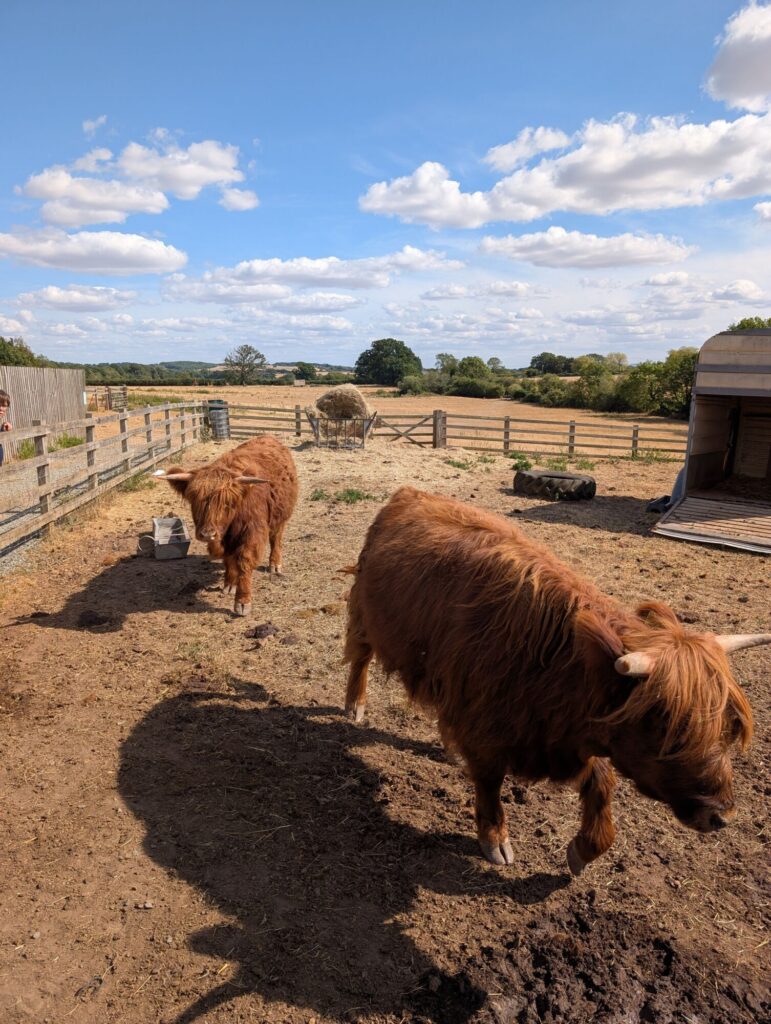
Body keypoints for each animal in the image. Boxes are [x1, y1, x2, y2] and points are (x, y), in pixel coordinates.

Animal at [155, 436, 298, 616]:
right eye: (194, 499)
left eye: (227, 502)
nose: (207, 534)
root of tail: (268, 436)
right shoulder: (225, 540)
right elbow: (228, 559)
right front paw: (229, 583)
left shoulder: (252, 532)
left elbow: (245, 561)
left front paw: (242, 601)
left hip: (280, 515)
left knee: (276, 539)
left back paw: (275, 565)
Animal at [344, 487, 768, 875]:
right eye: (670, 727)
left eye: (727, 727)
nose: (722, 816)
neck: (557, 661)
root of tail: (410, 493)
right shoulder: (487, 732)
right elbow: (490, 785)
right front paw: (495, 839)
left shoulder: (572, 735)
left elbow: (602, 783)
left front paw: (583, 850)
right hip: (365, 613)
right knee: (359, 656)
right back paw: (355, 705)